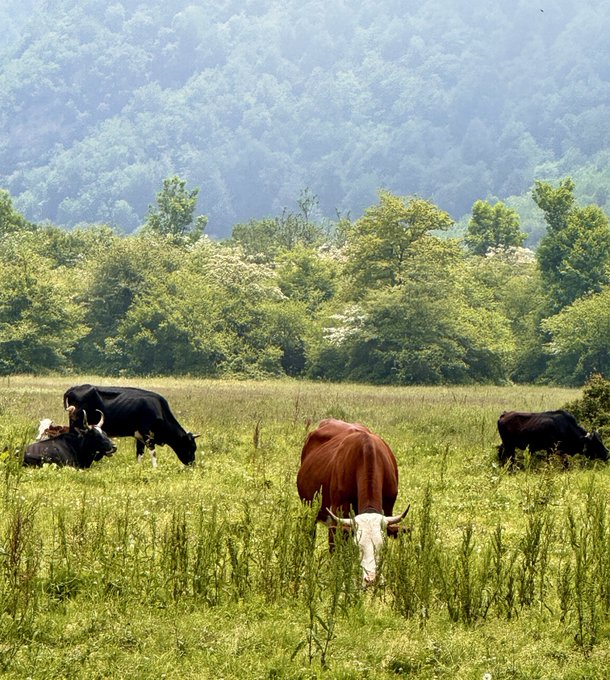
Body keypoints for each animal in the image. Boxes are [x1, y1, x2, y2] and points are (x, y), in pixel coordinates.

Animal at [63, 384, 199, 467]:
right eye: (190, 447)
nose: (192, 464)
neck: (159, 409)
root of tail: (73, 388)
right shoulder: (147, 434)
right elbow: (153, 453)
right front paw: (155, 468)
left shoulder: (139, 436)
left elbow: (139, 454)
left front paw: (138, 468)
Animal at [296, 418, 409, 587]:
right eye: (358, 546)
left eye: (382, 546)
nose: (371, 580)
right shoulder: (338, 518)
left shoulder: (388, 510)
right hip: (310, 510)